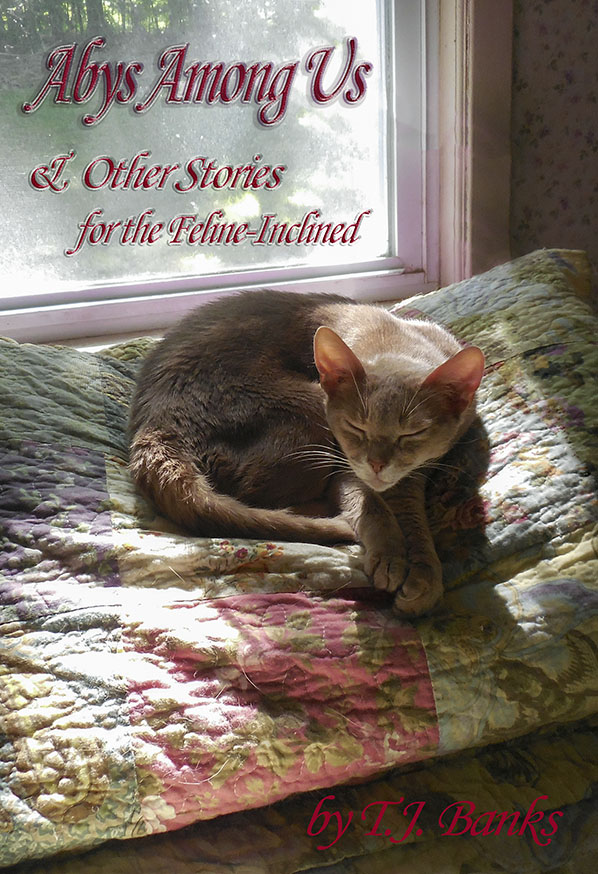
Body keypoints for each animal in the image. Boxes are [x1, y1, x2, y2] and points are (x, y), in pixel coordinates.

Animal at [128, 289, 485, 615]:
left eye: (413, 433)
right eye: (356, 427)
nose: (376, 463)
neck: (394, 340)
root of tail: (155, 425)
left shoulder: (416, 470)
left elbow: (411, 515)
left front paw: (423, 576)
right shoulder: (345, 465)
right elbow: (371, 506)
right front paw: (391, 557)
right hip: (308, 407)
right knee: (259, 495)